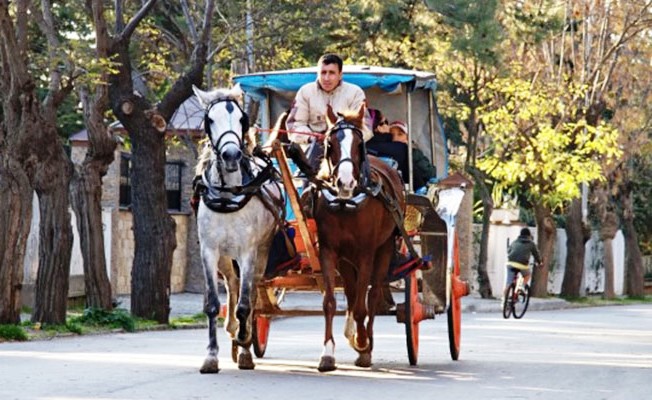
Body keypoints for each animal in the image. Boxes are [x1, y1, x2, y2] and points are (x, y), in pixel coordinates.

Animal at [194, 83, 286, 372]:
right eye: (210, 120)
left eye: (242, 119)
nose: (232, 155)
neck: (228, 195)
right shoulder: (209, 251)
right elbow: (213, 304)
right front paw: (211, 356)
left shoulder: (248, 252)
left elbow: (246, 304)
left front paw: (245, 346)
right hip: (226, 257)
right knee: (233, 284)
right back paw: (232, 329)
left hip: (262, 253)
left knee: (252, 292)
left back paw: (243, 338)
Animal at [314, 104, 404, 372]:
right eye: (330, 143)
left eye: (359, 144)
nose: (345, 181)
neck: (346, 203)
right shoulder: (329, 251)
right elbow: (330, 302)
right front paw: (327, 354)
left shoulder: (366, 252)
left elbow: (363, 307)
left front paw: (363, 343)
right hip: (347, 260)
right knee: (353, 294)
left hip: (384, 248)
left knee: (372, 296)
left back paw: (367, 343)